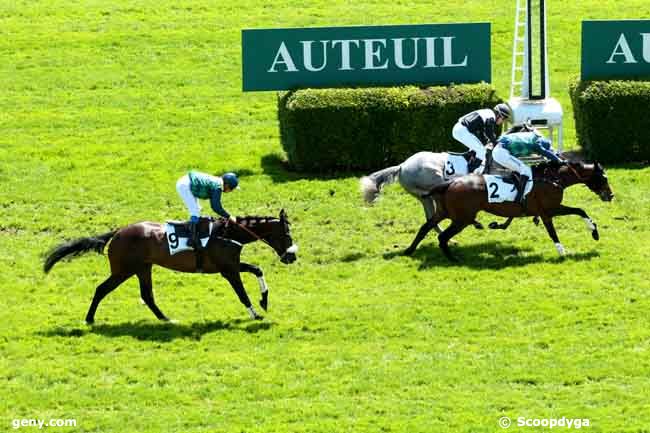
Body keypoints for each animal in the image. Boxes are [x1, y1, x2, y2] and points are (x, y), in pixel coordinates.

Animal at [44, 209, 298, 324]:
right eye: (286, 234)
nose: (292, 257)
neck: (228, 233)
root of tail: (116, 232)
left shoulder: (232, 265)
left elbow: (257, 270)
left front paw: (264, 301)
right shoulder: (228, 270)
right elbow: (242, 294)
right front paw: (255, 314)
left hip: (142, 268)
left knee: (146, 295)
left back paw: (166, 318)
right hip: (124, 270)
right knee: (101, 289)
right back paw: (89, 319)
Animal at [404, 160, 612, 258]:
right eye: (604, 178)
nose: (610, 195)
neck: (552, 178)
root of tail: (449, 183)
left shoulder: (550, 209)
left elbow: (580, 211)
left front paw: (594, 232)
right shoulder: (548, 210)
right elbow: (555, 229)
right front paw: (562, 252)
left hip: (445, 212)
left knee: (425, 227)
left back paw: (409, 250)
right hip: (462, 218)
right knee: (442, 237)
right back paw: (454, 259)